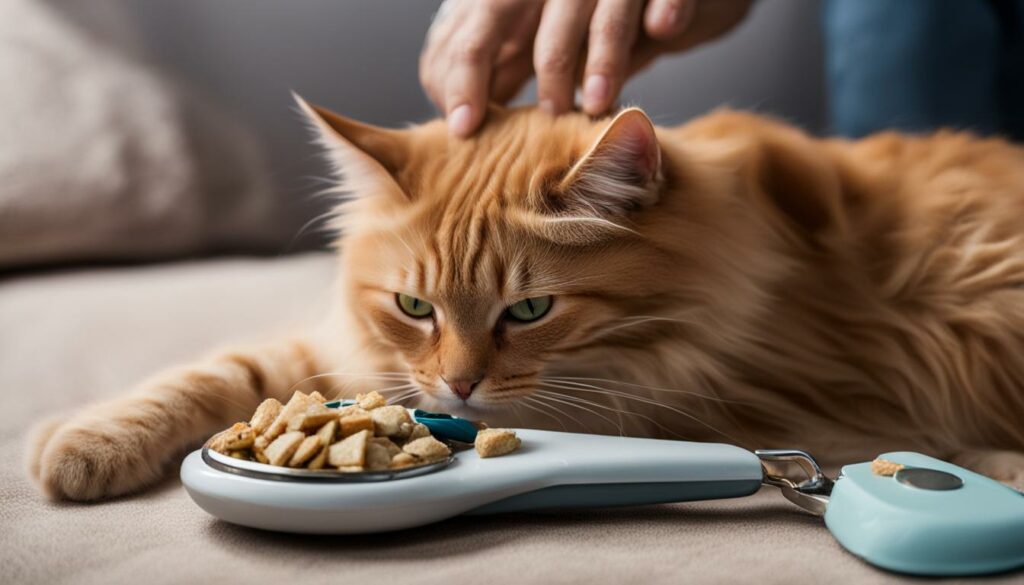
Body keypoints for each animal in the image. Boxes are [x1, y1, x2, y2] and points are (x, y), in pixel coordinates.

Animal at [28, 94, 1024, 499]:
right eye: (416, 308)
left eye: (531, 312)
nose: (459, 387)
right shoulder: (359, 352)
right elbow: (227, 369)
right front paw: (82, 440)